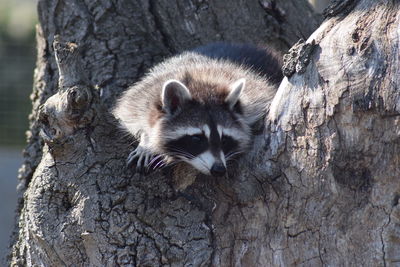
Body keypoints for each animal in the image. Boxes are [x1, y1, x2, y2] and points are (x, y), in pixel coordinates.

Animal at [111, 43, 282, 177]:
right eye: (196, 139)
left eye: (224, 139)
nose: (219, 170)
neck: (201, 86)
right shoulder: (144, 96)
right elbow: (127, 114)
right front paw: (147, 142)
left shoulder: (256, 99)